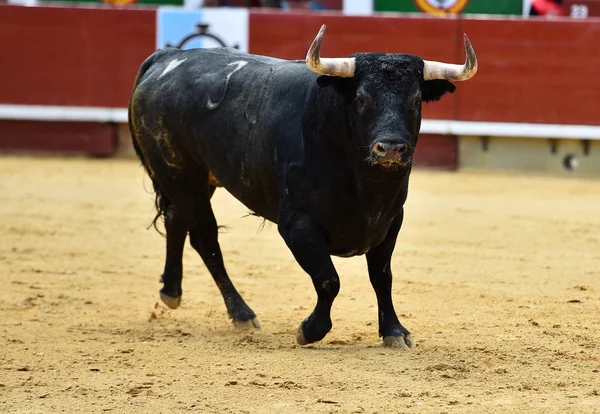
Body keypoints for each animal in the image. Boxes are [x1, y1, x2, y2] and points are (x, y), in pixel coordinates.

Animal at [127, 25, 478, 346]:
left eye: (416, 100)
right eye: (361, 99)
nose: (390, 148)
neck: (365, 184)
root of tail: (168, 57)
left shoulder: (391, 221)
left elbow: (382, 277)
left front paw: (394, 331)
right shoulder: (297, 224)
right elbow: (328, 279)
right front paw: (310, 330)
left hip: (193, 179)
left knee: (176, 219)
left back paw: (171, 291)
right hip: (183, 176)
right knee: (205, 239)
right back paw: (241, 314)